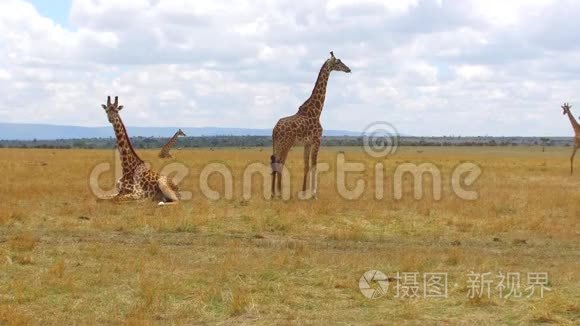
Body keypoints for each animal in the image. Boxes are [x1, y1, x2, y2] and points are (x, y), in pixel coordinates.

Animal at [270, 51, 352, 199]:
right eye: (338, 62)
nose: (349, 69)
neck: (316, 111)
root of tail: (275, 129)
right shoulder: (317, 140)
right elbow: (314, 165)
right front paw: (314, 194)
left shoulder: (307, 143)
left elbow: (306, 165)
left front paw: (304, 191)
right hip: (286, 144)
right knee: (280, 163)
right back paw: (279, 193)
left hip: (277, 144)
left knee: (275, 161)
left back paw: (273, 193)